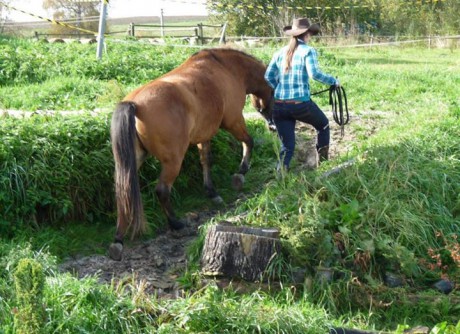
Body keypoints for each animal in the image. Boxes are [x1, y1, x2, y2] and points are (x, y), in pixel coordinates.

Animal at [108, 47, 274, 260]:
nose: (272, 125)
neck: (227, 68)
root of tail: (134, 105)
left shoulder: (205, 135)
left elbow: (206, 161)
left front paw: (211, 192)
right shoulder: (234, 121)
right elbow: (249, 142)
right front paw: (240, 173)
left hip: (134, 162)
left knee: (123, 192)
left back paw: (118, 239)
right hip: (173, 161)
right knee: (162, 190)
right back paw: (176, 224)